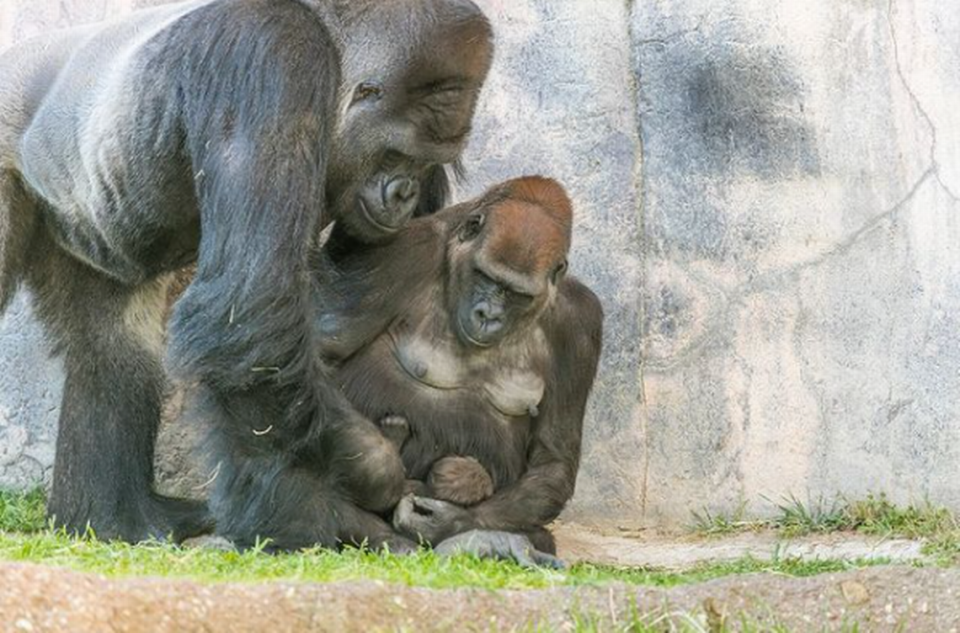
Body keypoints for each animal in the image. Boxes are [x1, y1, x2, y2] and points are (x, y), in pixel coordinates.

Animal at [0, 0, 496, 548]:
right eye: (397, 154)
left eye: (428, 162)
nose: (405, 192)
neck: (329, 36)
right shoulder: (277, 58)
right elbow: (254, 310)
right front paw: (337, 493)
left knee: (111, 341)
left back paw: (113, 518)